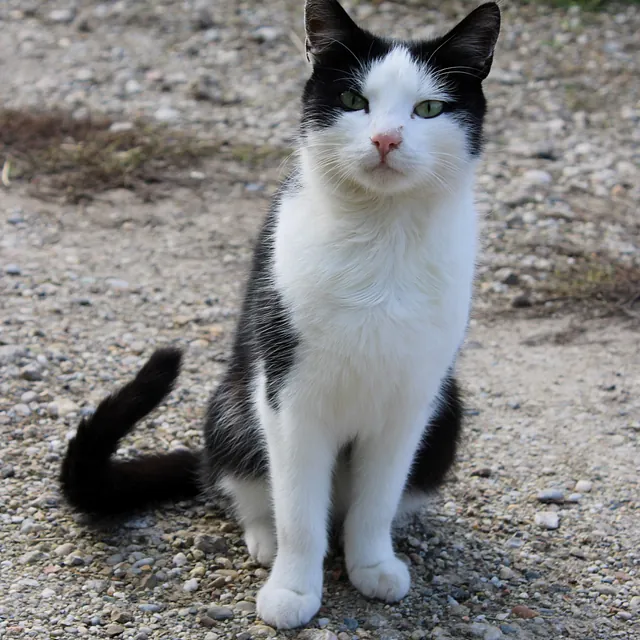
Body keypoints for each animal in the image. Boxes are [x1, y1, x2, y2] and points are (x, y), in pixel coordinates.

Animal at [60, 0, 500, 632]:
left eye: (429, 109)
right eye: (353, 100)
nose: (385, 139)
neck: (381, 236)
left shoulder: (412, 399)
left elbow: (376, 501)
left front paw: (372, 565)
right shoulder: (288, 392)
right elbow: (297, 509)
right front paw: (293, 588)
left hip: (448, 411)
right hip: (234, 402)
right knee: (248, 484)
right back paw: (265, 539)